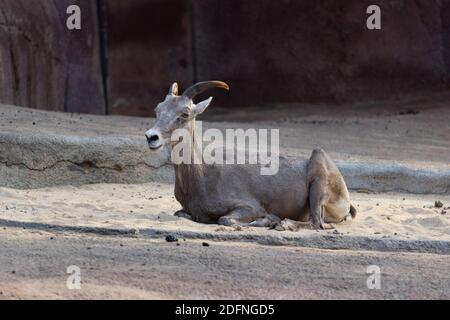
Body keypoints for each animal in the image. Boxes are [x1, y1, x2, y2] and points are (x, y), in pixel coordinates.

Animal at [144, 81, 356, 229]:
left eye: (185, 113)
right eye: (157, 109)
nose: (151, 137)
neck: (202, 177)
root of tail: (346, 199)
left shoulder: (248, 207)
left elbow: (226, 220)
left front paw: (269, 220)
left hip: (318, 171)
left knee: (316, 223)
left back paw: (282, 224)